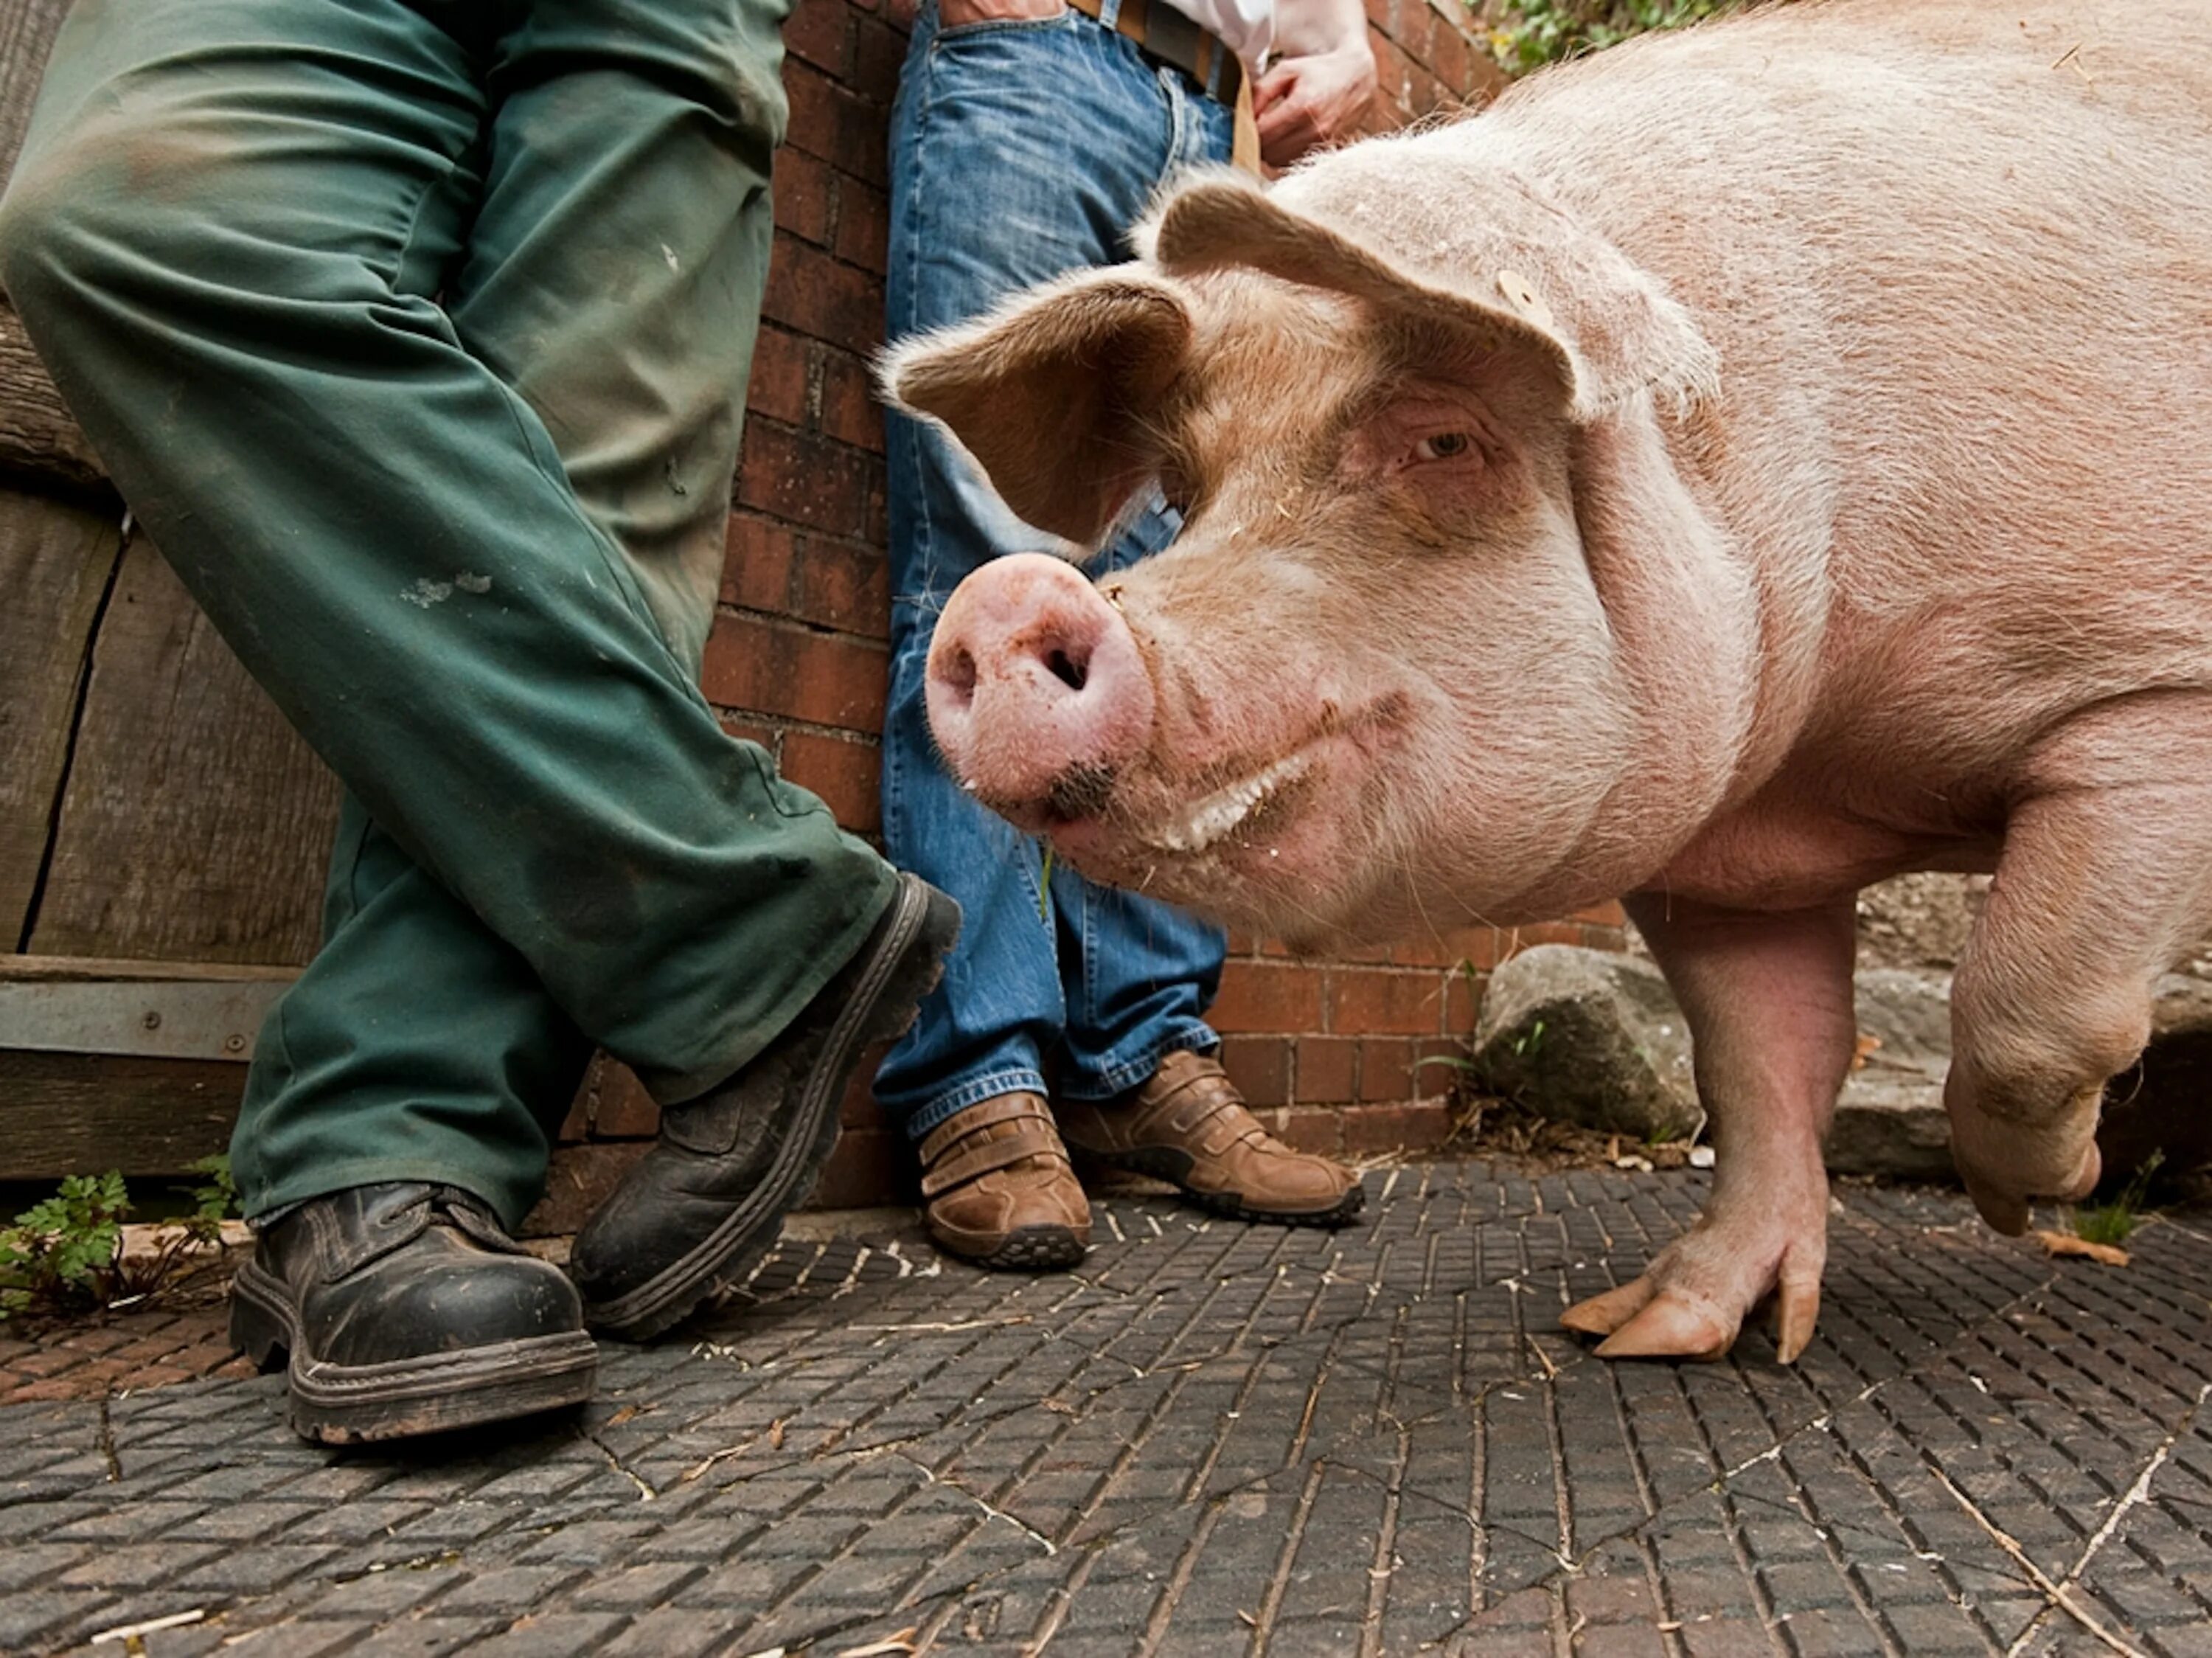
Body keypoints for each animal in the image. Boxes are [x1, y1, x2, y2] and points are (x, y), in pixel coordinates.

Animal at [876, 0, 2212, 1363]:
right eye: (1187, 491)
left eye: (1444, 439)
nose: (1007, 598)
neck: (1832, 767)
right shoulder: (1722, 851)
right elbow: (1762, 1062)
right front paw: (1642, 1335)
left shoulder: (2154, 689)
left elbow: (2028, 1006)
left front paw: (2038, 1196)